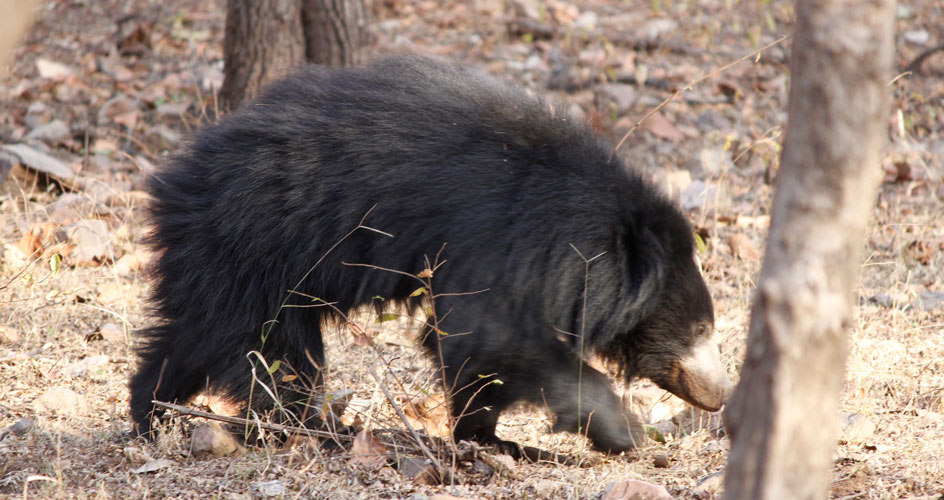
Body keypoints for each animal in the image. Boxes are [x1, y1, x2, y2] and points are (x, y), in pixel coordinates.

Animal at [129, 54, 732, 454]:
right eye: (701, 329)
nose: (721, 395)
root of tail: (176, 178)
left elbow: (480, 354)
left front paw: (491, 441)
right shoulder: (492, 237)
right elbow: (489, 334)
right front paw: (624, 432)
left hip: (219, 261)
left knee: (190, 338)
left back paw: (150, 414)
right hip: (258, 247)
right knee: (276, 355)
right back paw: (312, 432)